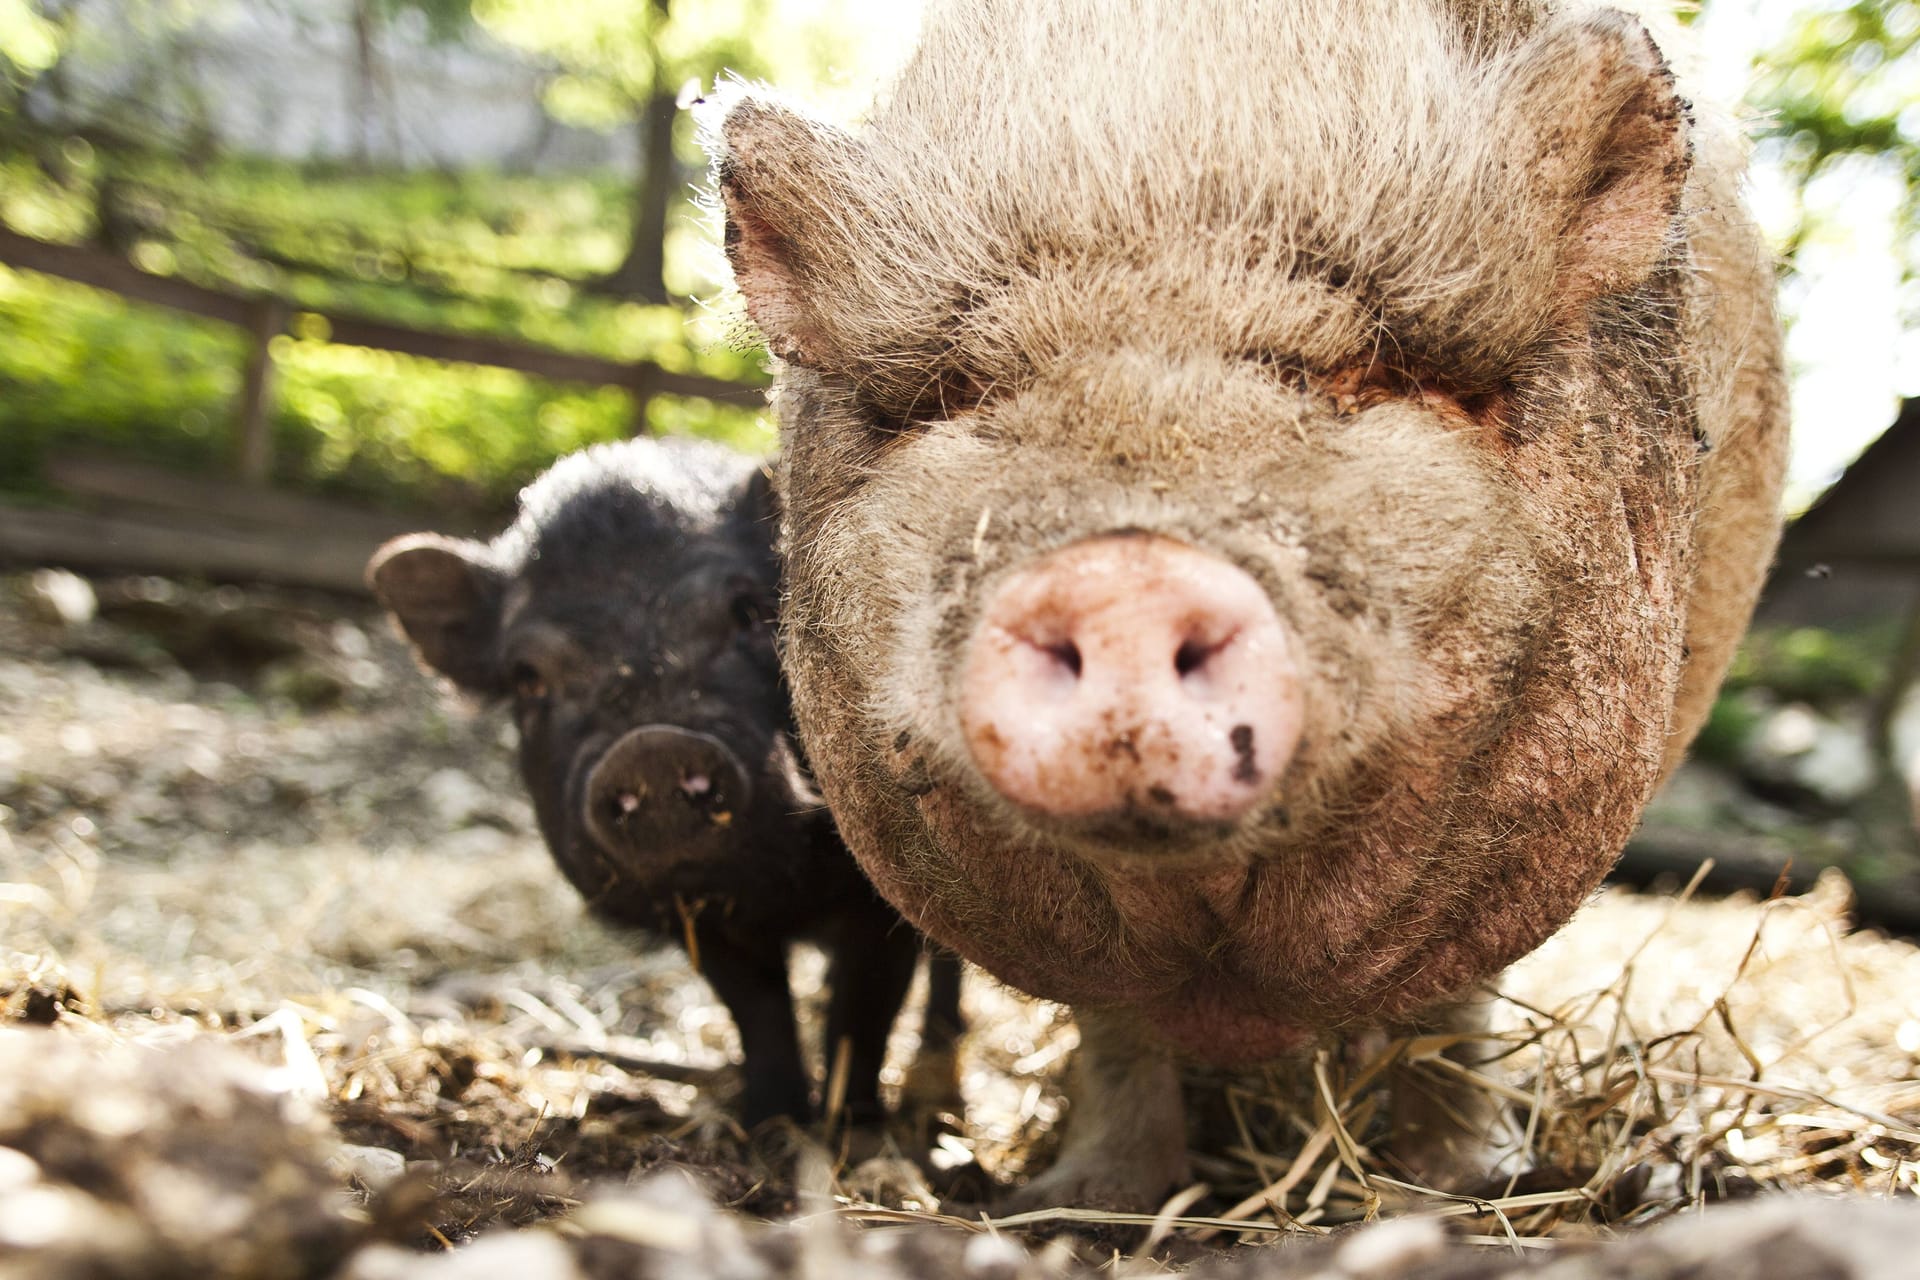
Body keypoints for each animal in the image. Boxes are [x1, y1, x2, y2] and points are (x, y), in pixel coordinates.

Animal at [366, 441, 960, 1128]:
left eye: (750, 611)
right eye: (527, 677)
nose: (650, 746)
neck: (781, 900)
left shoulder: (880, 895)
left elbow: (864, 1011)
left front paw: (851, 1127)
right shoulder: (699, 921)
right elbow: (758, 1010)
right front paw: (769, 1121)